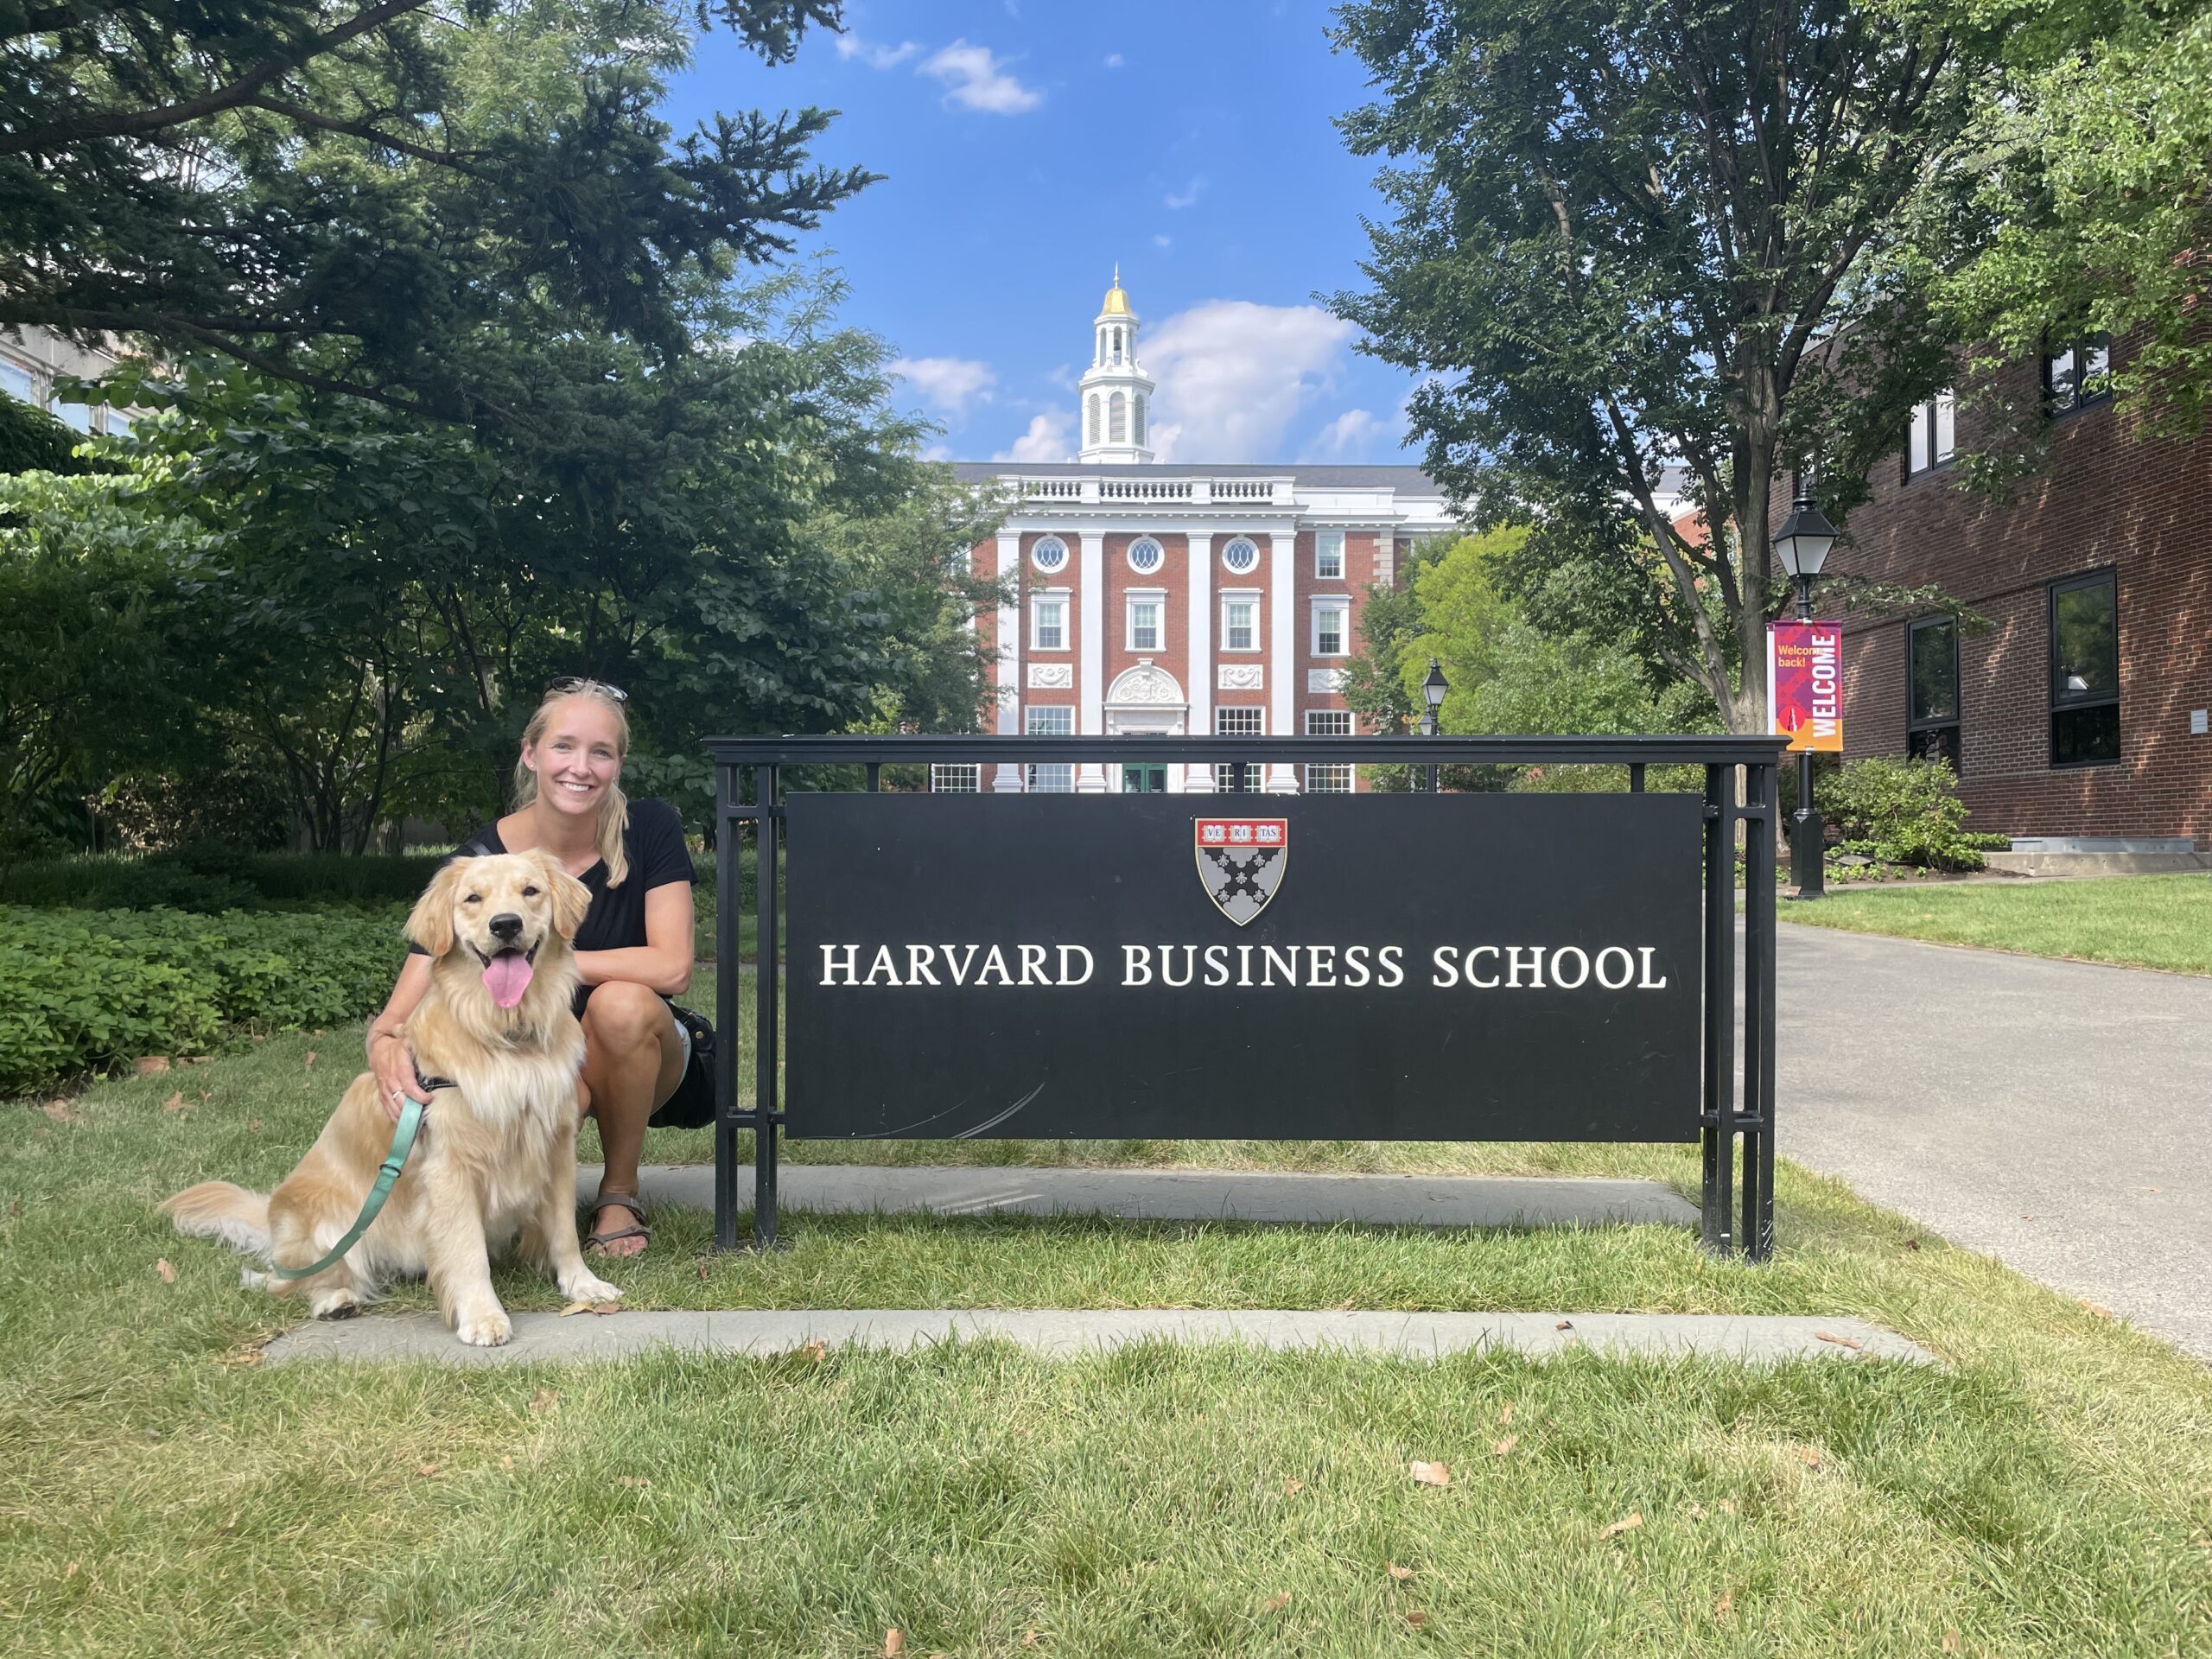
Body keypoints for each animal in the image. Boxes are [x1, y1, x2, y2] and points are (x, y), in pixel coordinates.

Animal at [167, 849, 623, 1344]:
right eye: (473, 898)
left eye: (530, 891)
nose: (505, 924)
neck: (506, 1037)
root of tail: (270, 1214)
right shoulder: (449, 1166)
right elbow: (467, 1249)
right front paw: (482, 1315)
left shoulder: (555, 1145)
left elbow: (563, 1230)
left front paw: (582, 1285)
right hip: (329, 1225)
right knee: (286, 1280)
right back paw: (335, 1300)